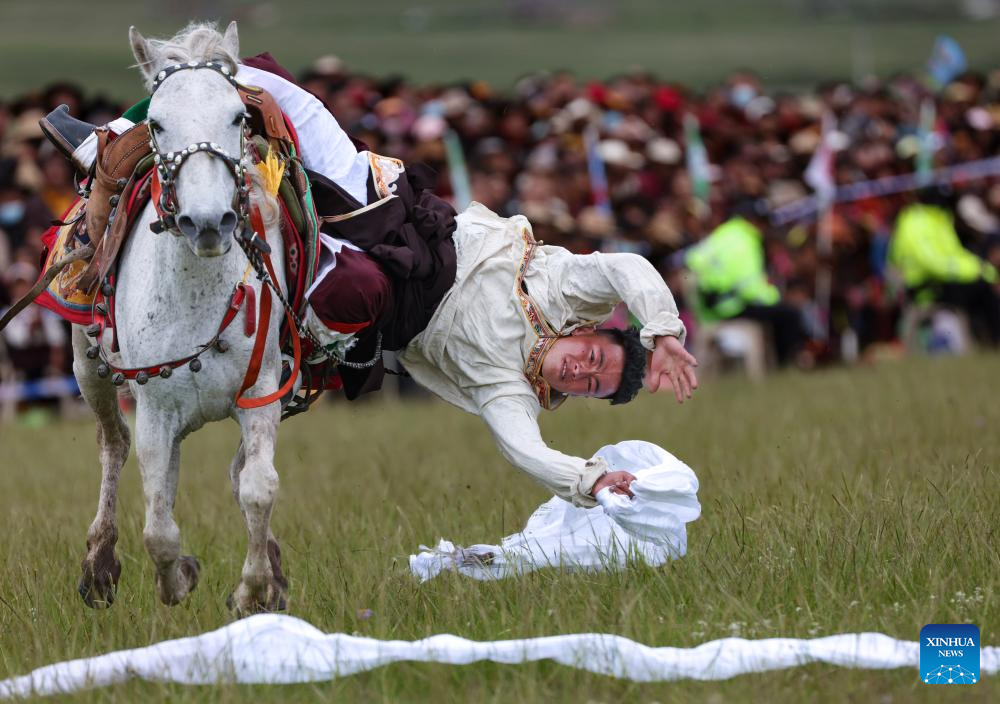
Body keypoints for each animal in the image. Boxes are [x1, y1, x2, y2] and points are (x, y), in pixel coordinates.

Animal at [69, 23, 290, 616]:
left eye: (238, 117)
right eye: (157, 122)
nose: (209, 222)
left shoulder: (261, 393)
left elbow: (257, 487)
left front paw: (254, 588)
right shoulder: (155, 407)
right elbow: (158, 527)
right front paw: (180, 579)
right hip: (88, 369)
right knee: (114, 446)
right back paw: (99, 566)